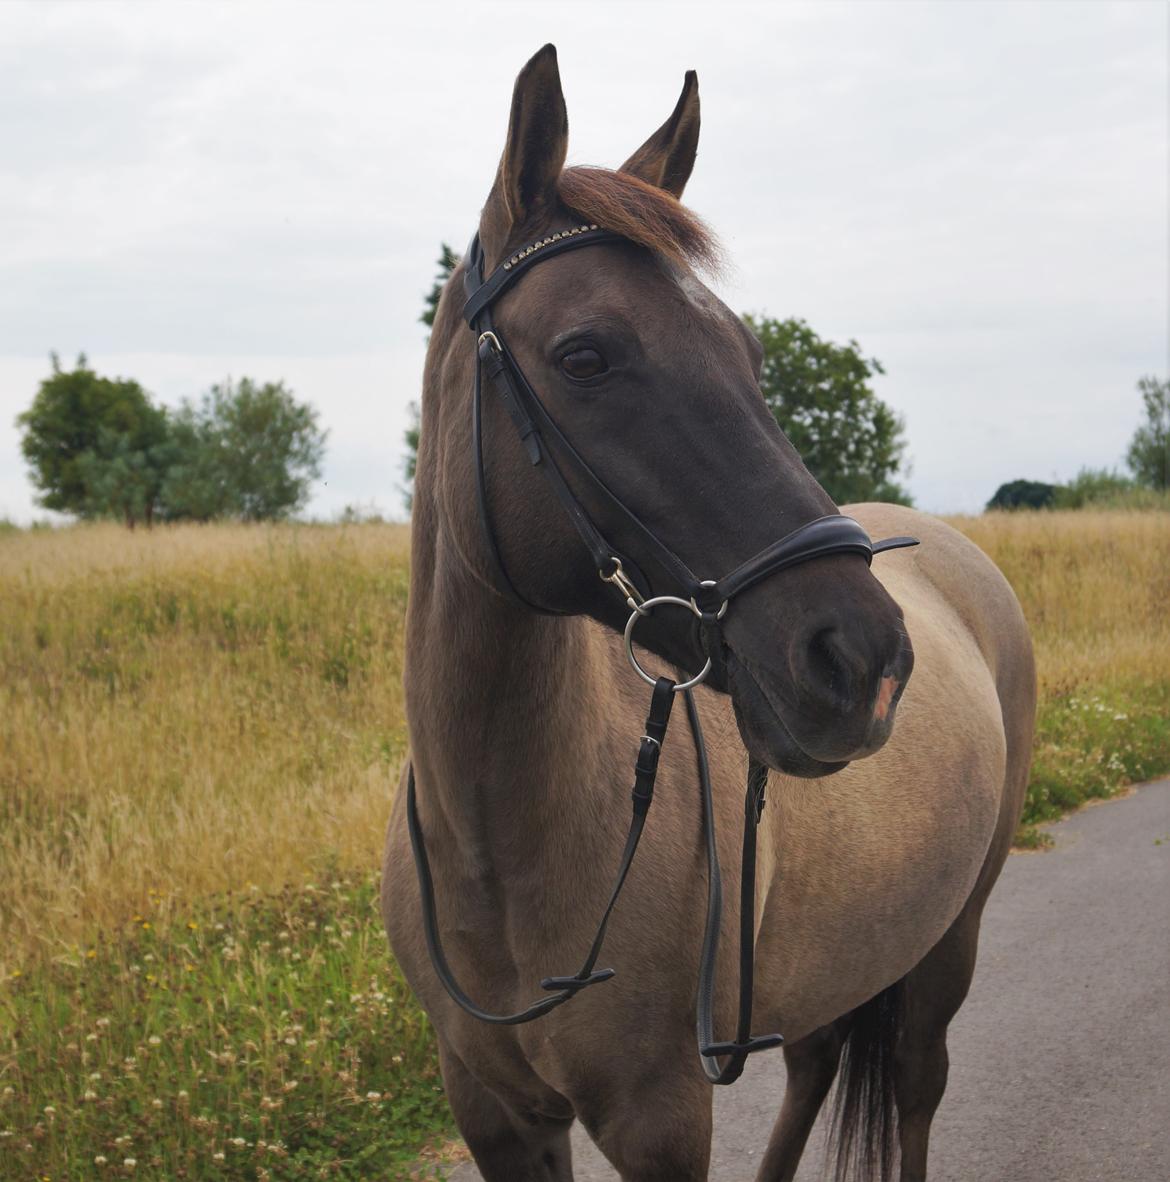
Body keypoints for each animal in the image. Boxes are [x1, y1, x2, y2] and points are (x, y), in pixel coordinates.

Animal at [382, 41, 1035, 1177]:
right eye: (585, 355)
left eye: (748, 353)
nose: (860, 658)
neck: (499, 849)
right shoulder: (494, 1114)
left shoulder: (661, 1116)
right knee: (815, 1065)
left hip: (948, 940)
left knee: (913, 1085)